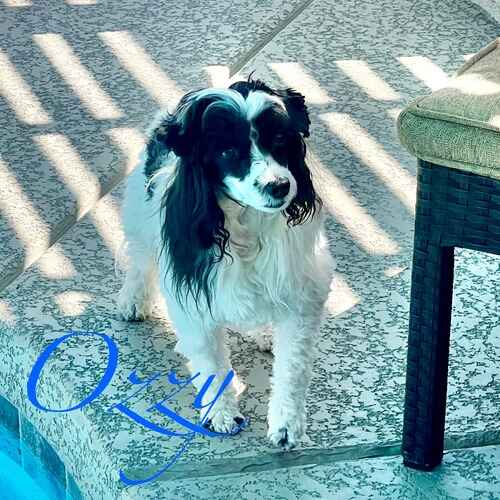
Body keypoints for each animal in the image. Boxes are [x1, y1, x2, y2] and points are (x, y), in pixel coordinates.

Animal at [117, 77, 334, 450]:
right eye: (228, 151)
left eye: (280, 139)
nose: (280, 186)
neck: (246, 223)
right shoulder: (193, 300)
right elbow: (211, 363)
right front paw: (220, 414)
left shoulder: (301, 295)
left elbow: (292, 369)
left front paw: (287, 426)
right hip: (141, 216)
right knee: (140, 260)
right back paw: (133, 300)